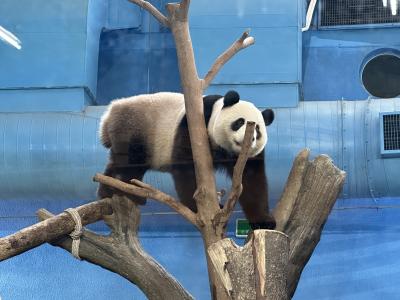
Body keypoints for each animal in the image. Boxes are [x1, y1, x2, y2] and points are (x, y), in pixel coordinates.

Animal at [98, 90, 276, 229]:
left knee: (119, 165)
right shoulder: (193, 126)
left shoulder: (249, 157)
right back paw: (126, 193)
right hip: (132, 129)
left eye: (258, 129)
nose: (250, 138)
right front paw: (199, 208)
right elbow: (186, 167)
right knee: (130, 164)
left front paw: (264, 221)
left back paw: (108, 192)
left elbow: (252, 181)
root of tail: (110, 112)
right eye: (239, 122)